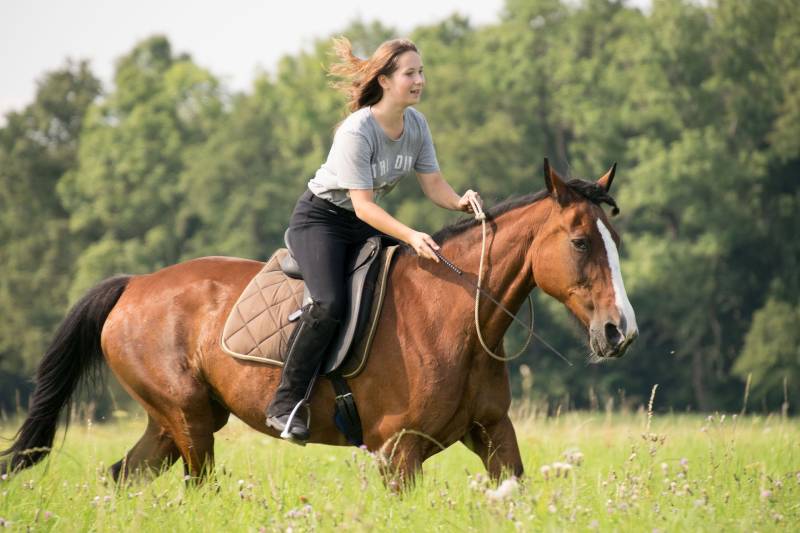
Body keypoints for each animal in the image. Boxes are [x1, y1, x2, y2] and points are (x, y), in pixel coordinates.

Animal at [1, 160, 638, 485]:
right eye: (580, 242)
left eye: (614, 238)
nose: (620, 332)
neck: (454, 316)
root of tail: (134, 285)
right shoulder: (398, 453)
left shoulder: (494, 435)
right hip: (189, 422)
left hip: (173, 422)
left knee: (120, 477)